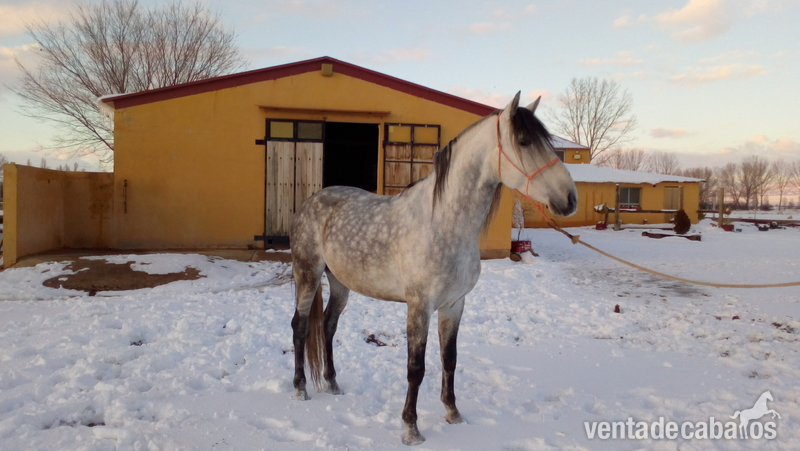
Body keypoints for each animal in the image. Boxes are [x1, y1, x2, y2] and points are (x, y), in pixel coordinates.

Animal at [289, 92, 577, 445]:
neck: (444, 222)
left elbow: (449, 359)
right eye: (524, 141)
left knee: (328, 325)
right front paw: (411, 428)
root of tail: (311, 201)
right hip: (308, 274)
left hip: (340, 282)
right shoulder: (419, 307)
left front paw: (453, 414)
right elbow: (416, 367)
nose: (570, 198)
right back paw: (301, 388)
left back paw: (332, 383)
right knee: (301, 326)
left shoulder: (454, 305)